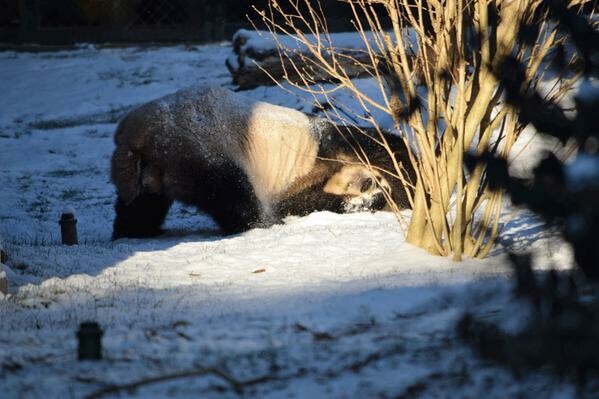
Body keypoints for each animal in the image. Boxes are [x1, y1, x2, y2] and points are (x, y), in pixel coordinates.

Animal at [110, 85, 414, 239]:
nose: (367, 184)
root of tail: (136, 137)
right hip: (201, 146)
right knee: (233, 192)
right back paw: (262, 224)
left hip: (149, 171)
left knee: (142, 203)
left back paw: (134, 230)